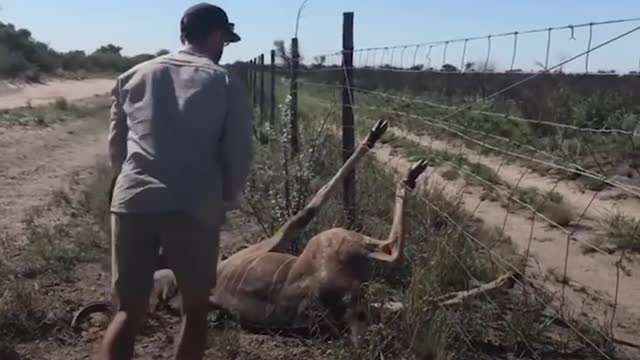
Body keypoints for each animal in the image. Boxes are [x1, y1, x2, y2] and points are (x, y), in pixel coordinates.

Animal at [71, 121, 430, 346]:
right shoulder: (276, 239)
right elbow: (307, 209)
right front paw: (372, 141)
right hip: (336, 242)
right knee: (390, 250)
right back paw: (404, 173)